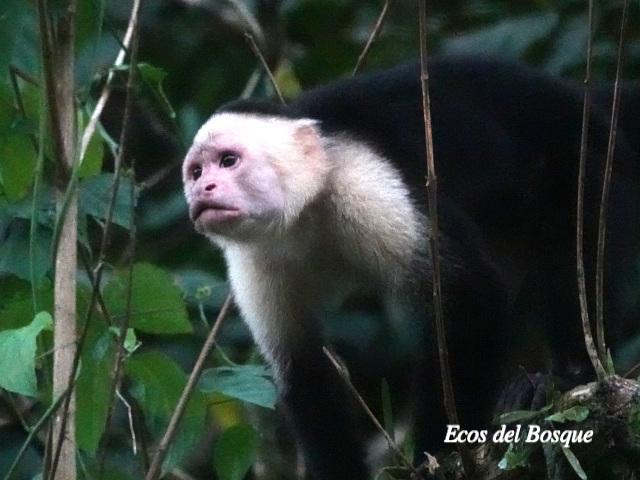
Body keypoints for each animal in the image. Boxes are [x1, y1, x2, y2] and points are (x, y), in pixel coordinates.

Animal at [182, 56, 640, 479]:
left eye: (228, 160)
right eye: (196, 171)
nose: (203, 189)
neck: (305, 211)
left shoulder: (362, 182)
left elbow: (469, 291)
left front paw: (439, 453)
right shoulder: (255, 257)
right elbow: (303, 369)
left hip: (587, 154)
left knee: (577, 246)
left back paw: (565, 379)